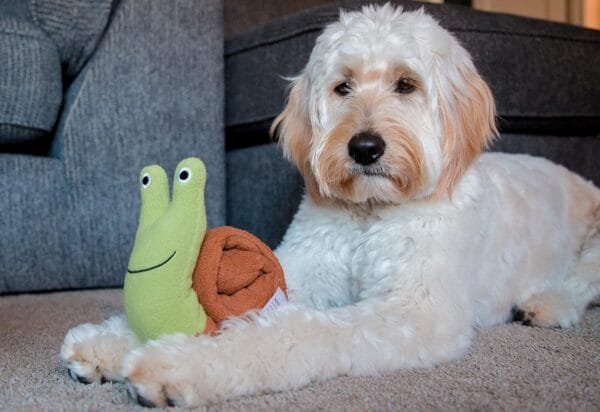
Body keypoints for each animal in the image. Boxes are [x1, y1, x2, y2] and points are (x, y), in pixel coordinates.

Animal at [62, 4, 600, 408]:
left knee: (583, 283)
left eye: (407, 84)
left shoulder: (413, 313)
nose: (364, 148)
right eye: (343, 86)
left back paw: (545, 305)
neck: (369, 214)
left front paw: (176, 363)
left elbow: (296, 333)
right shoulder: (298, 271)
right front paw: (110, 340)